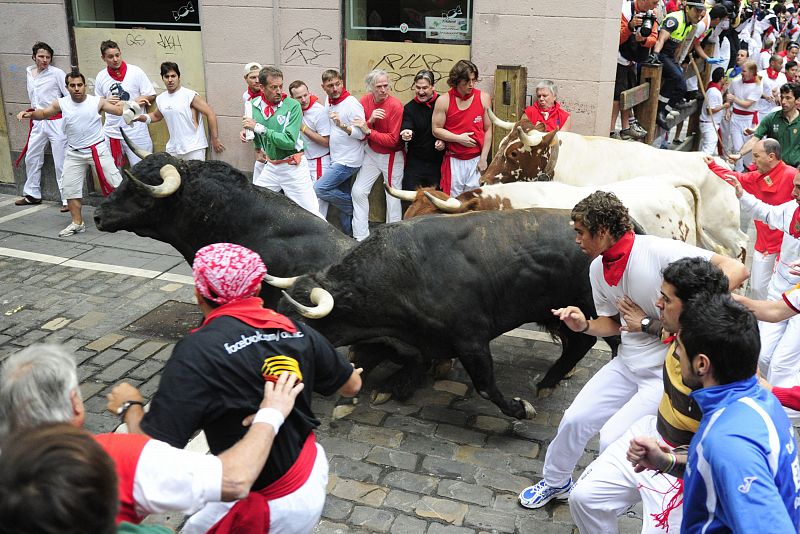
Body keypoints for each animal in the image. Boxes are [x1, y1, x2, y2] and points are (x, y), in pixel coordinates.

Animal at [278, 207, 604, 420]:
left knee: (587, 343)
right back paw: (550, 383)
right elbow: (360, 361)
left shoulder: (470, 338)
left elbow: (485, 386)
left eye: (300, 329)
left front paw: (520, 409)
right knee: (581, 343)